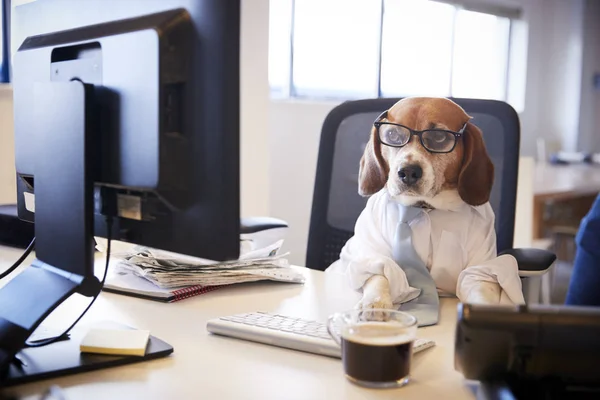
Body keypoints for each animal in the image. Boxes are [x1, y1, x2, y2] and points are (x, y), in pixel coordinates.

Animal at [328, 96, 524, 310]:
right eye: (393, 135)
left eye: (438, 137)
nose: (408, 172)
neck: (425, 208)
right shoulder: (373, 252)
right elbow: (380, 275)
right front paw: (374, 304)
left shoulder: (479, 269)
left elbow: (480, 289)